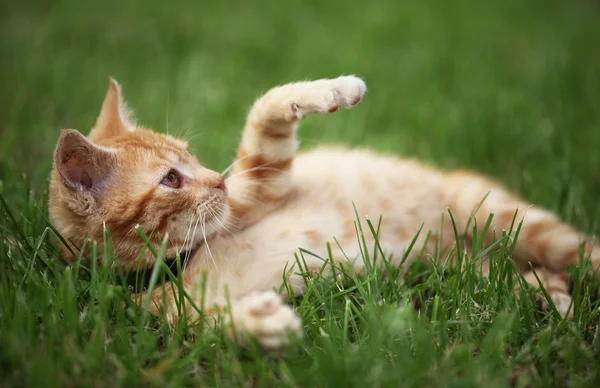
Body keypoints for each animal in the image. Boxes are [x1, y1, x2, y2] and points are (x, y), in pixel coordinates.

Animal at [48, 76, 600, 352]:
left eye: (191, 156)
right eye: (170, 179)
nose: (219, 180)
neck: (183, 260)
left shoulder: (262, 184)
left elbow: (266, 111)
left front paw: (332, 90)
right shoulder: (152, 315)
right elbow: (200, 326)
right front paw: (260, 327)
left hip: (504, 218)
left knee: (579, 253)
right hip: (472, 267)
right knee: (530, 277)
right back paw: (553, 301)